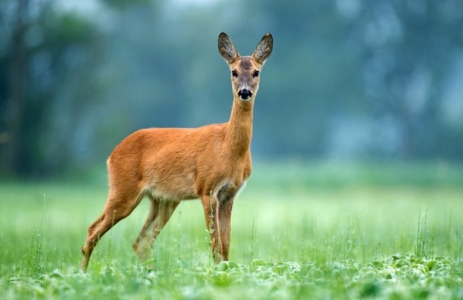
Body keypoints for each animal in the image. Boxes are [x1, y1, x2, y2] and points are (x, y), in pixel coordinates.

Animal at [81, 32, 274, 272]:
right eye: (234, 72)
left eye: (256, 72)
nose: (244, 92)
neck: (229, 149)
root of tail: (112, 154)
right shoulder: (207, 188)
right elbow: (215, 245)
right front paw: (215, 273)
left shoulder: (230, 194)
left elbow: (226, 247)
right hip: (123, 190)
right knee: (92, 231)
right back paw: (82, 274)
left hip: (163, 200)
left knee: (140, 242)